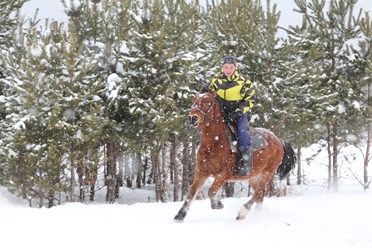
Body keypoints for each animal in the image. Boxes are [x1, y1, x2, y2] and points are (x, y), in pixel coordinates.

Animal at [175, 91, 296, 221]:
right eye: (194, 100)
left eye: (208, 101)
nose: (192, 118)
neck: (214, 143)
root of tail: (278, 140)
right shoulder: (201, 172)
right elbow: (191, 192)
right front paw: (180, 215)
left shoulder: (223, 175)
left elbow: (212, 191)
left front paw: (218, 204)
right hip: (254, 176)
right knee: (260, 195)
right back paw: (256, 214)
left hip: (267, 172)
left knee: (258, 192)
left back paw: (242, 212)